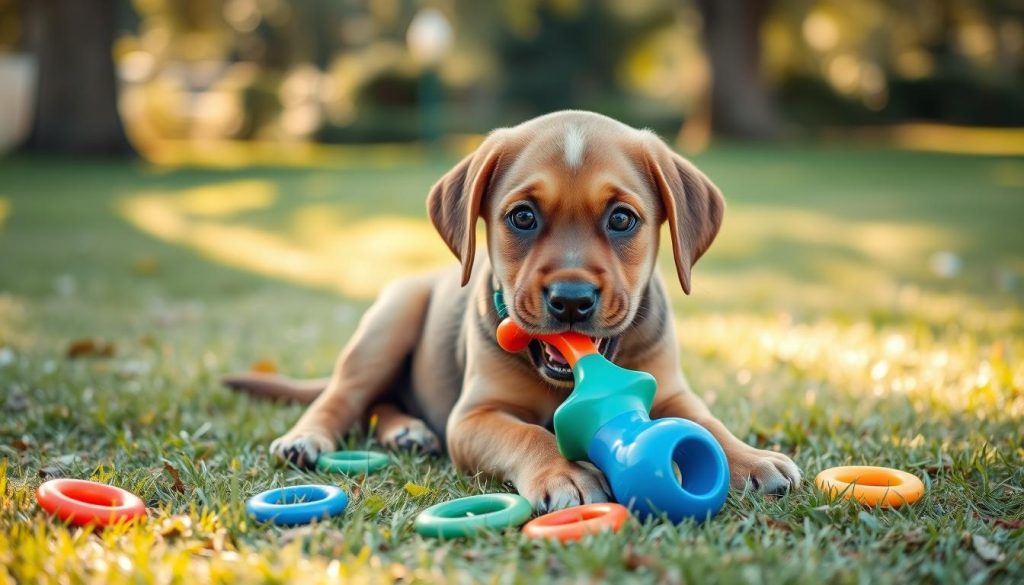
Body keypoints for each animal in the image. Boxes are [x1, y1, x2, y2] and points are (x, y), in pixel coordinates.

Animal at [224, 111, 798, 512]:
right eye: (522, 217)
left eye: (621, 219)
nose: (571, 300)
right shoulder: (474, 415)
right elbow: (529, 434)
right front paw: (565, 473)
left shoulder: (672, 389)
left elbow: (709, 424)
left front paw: (752, 460)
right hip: (389, 321)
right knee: (344, 396)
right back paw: (307, 438)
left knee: (380, 401)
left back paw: (407, 430)